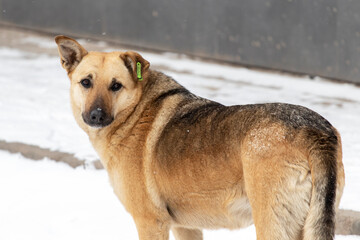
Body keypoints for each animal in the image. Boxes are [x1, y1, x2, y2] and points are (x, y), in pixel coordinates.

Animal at [54, 35, 344, 240]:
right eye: (86, 82)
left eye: (116, 86)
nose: (96, 115)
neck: (135, 111)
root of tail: (314, 131)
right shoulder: (185, 226)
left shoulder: (151, 222)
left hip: (272, 223)